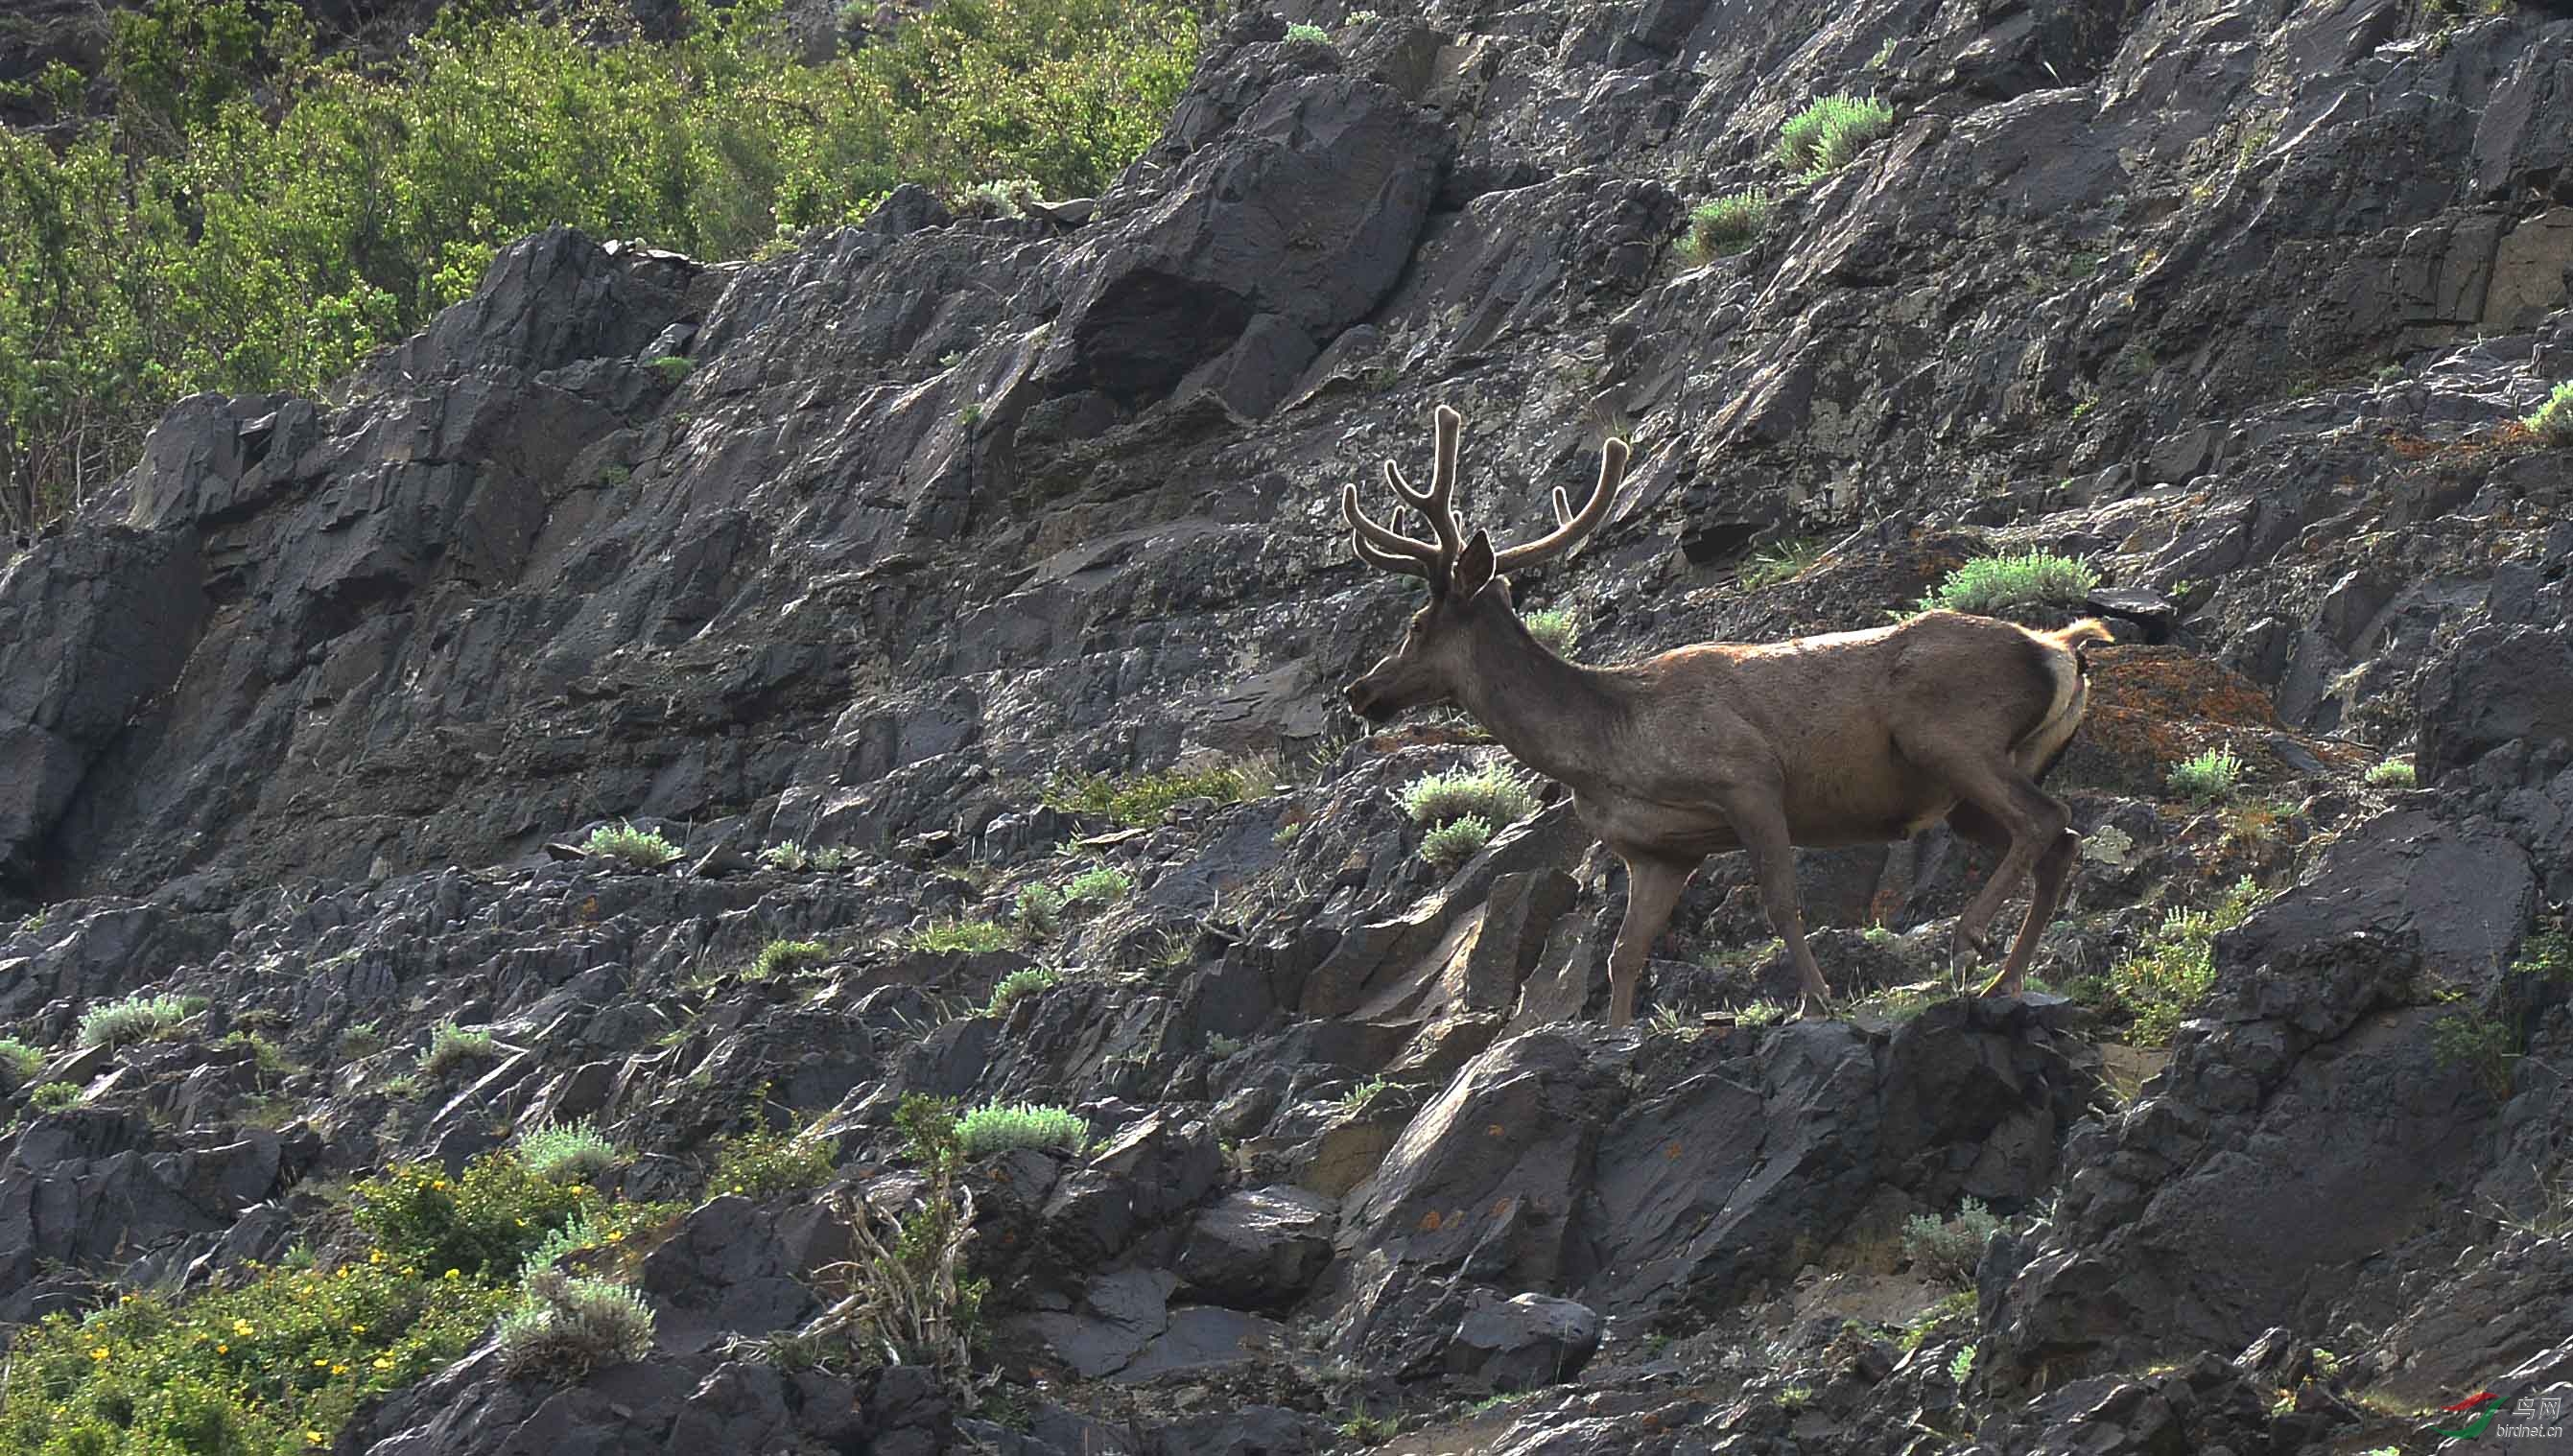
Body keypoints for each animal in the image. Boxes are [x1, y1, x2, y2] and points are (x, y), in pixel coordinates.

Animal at [1337, 406, 2099, 1034]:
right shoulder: (1659, 850)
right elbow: (1624, 952)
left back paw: (1970, 942)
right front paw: (1616, 1031)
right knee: (2059, 837)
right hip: (1973, 786)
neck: (1608, 747)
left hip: (1949, 735)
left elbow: (1782, 901)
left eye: (1416, 625)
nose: (1358, 690)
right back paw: (2007, 980)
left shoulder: (1747, 776)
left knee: (2044, 820)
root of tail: (2059, 651)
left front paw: (1816, 1000)